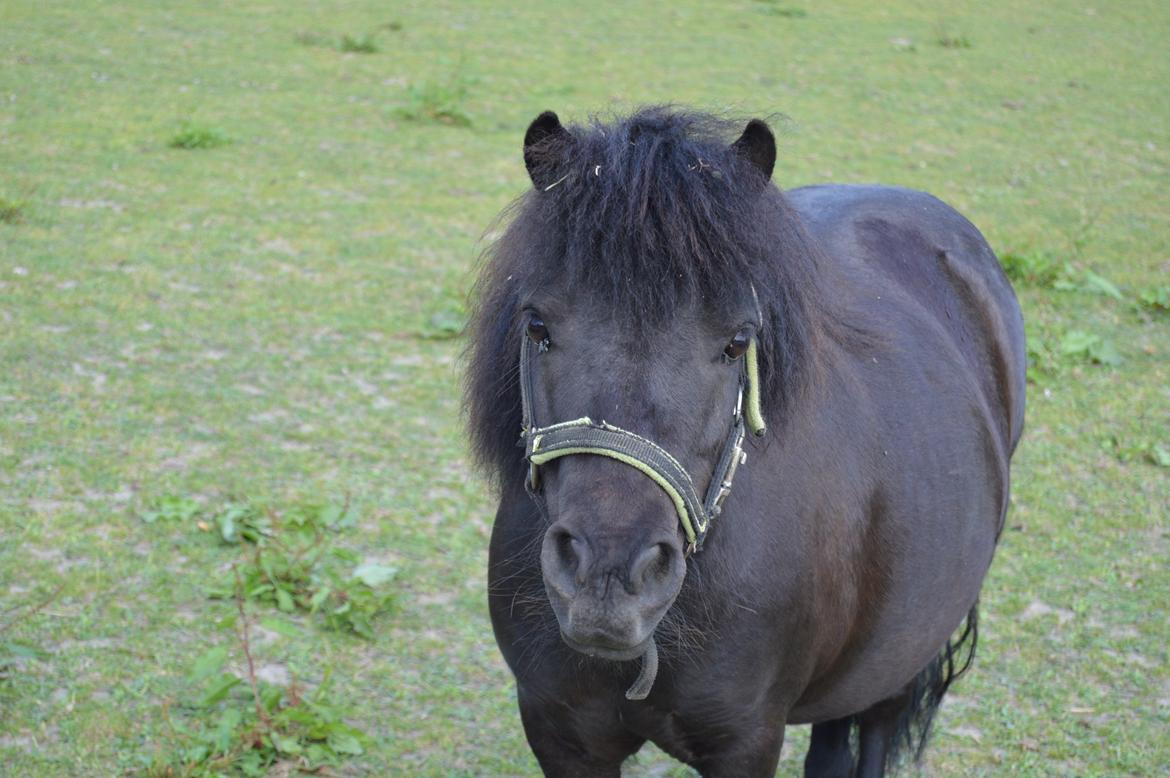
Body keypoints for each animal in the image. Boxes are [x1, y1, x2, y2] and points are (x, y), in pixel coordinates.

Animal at [465, 106, 1024, 772]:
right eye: (538, 326)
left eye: (737, 342)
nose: (609, 575)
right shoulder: (560, 735)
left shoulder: (747, 741)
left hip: (899, 658)